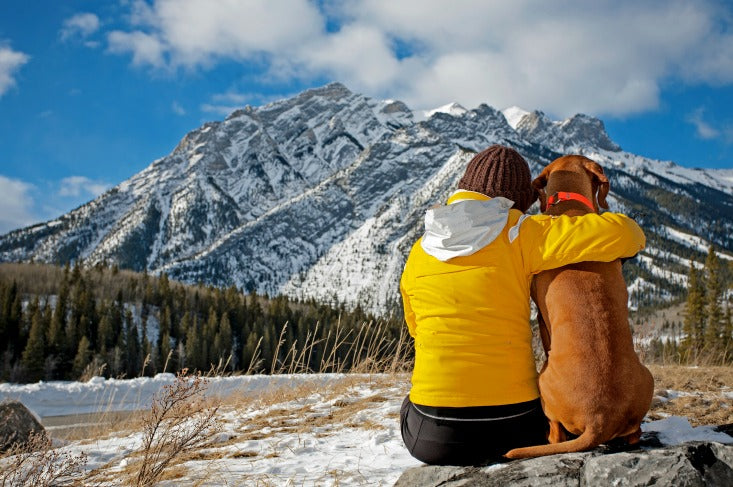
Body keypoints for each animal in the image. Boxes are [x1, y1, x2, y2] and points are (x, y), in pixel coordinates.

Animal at [504, 154, 652, 460]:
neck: (570, 206)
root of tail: (599, 420)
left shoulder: (542, 318)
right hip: (649, 377)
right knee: (635, 433)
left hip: (542, 380)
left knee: (556, 430)